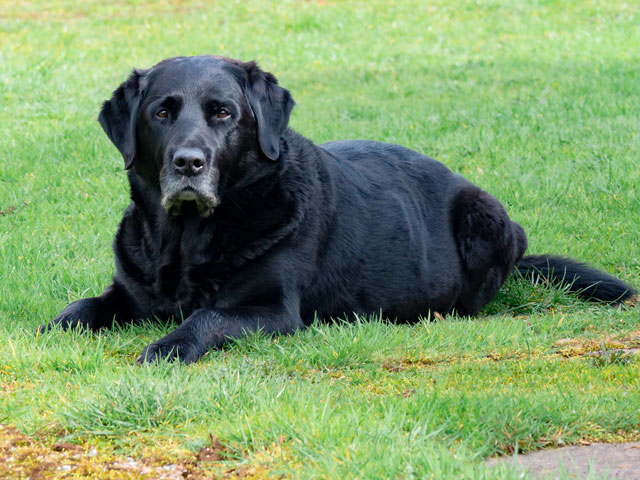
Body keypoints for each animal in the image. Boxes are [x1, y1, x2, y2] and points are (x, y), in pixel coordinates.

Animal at [41, 55, 636, 364]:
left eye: (223, 113)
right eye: (162, 113)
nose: (188, 162)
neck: (186, 239)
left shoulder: (271, 310)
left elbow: (205, 317)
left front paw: (167, 347)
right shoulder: (128, 292)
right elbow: (79, 308)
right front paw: (52, 329)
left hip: (487, 217)